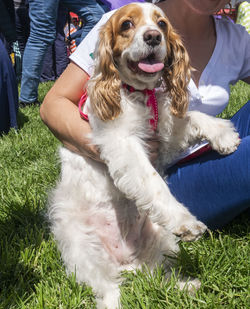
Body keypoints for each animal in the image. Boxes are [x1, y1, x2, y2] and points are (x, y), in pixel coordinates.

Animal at [47, 3, 239, 308]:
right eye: (127, 24)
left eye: (161, 24)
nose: (153, 37)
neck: (139, 93)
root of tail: (128, 262)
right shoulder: (122, 143)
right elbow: (154, 183)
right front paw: (186, 221)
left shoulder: (165, 134)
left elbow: (191, 117)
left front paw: (224, 135)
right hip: (82, 251)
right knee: (109, 289)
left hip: (161, 238)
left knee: (158, 277)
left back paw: (188, 287)